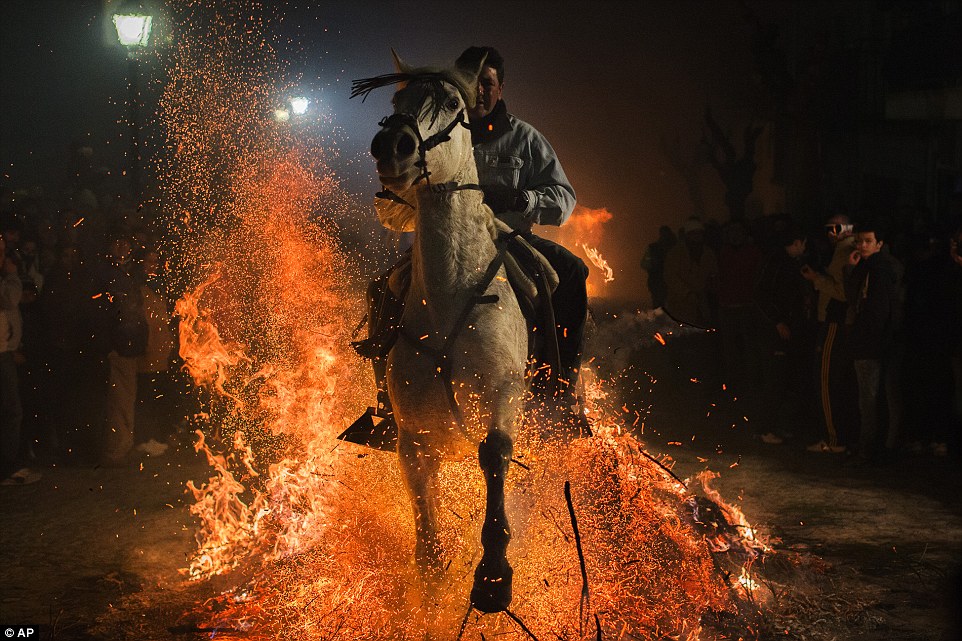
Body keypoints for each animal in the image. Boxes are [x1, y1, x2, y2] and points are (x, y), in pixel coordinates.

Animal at [354, 52, 524, 612]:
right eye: (396, 100)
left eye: (452, 102)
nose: (392, 145)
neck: (451, 301)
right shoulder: (414, 441)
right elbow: (428, 550)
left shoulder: (504, 392)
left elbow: (494, 453)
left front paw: (493, 573)